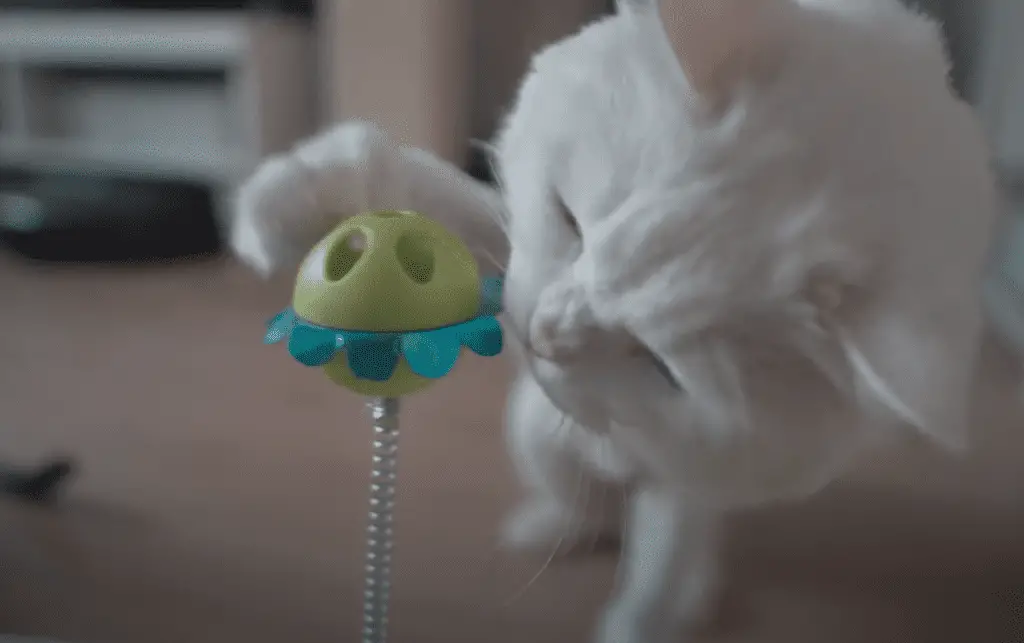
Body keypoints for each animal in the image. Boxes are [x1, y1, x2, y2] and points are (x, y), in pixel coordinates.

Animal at [228, 1, 995, 643]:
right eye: (570, 219)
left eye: (659, 364)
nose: (538, 338)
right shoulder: (509, 244)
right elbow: (414, 181)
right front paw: (280, 208)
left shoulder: (716, 455)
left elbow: (667, 540)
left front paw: (644, 616)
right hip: (533, 433)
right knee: (586, 505)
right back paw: (544, 529)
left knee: (660, 532)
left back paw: (661, 604)